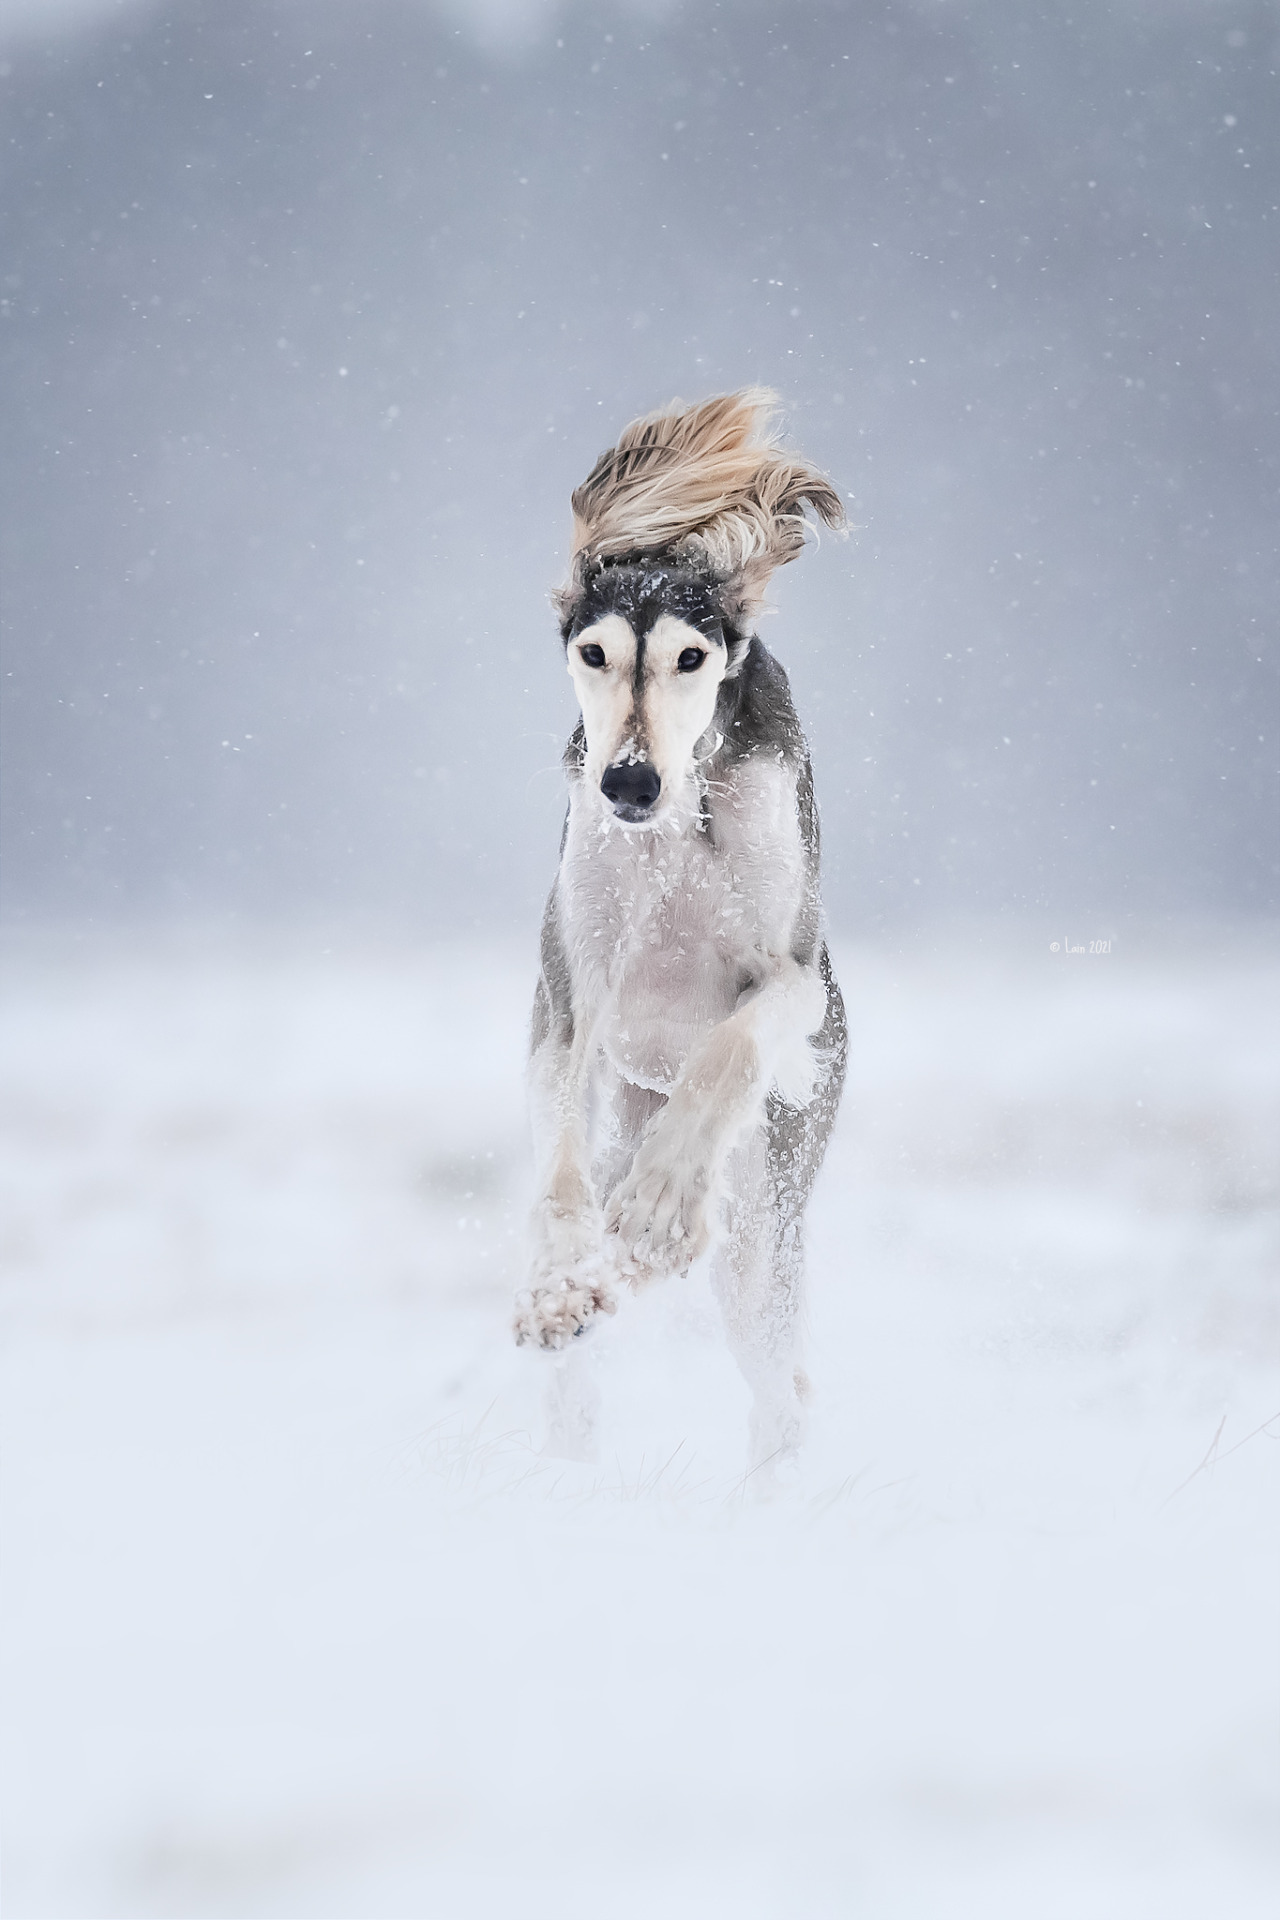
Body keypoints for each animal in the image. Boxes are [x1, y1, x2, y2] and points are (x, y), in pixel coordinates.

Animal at [514, 385, 844, 1466]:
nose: (627, 783)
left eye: (691, 658)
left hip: (768, 1208)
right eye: (594, 653)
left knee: (777, 1386)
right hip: (626, 1112)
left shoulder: (793, 979)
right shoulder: (569, 998)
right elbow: (559, 1175)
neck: (673, 832)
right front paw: (557, 1285)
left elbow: (729, 1050)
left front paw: (660, 1207)